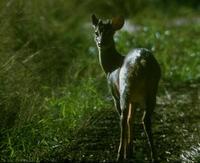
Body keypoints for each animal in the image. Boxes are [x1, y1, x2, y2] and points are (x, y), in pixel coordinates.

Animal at [90, 14, 161, 162]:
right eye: (96, 32)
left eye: (110, 33)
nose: (100, 43)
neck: (110, 68)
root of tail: (143, 62)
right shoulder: (134, 100)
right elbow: (131, 119)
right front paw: (130, 151)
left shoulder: (114, 94)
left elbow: (126, 118)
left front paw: (126, 152)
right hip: (153, 88)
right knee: (145, 119)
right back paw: (154, 156)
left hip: (125, 87)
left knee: (122, 119)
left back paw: (119, 155)